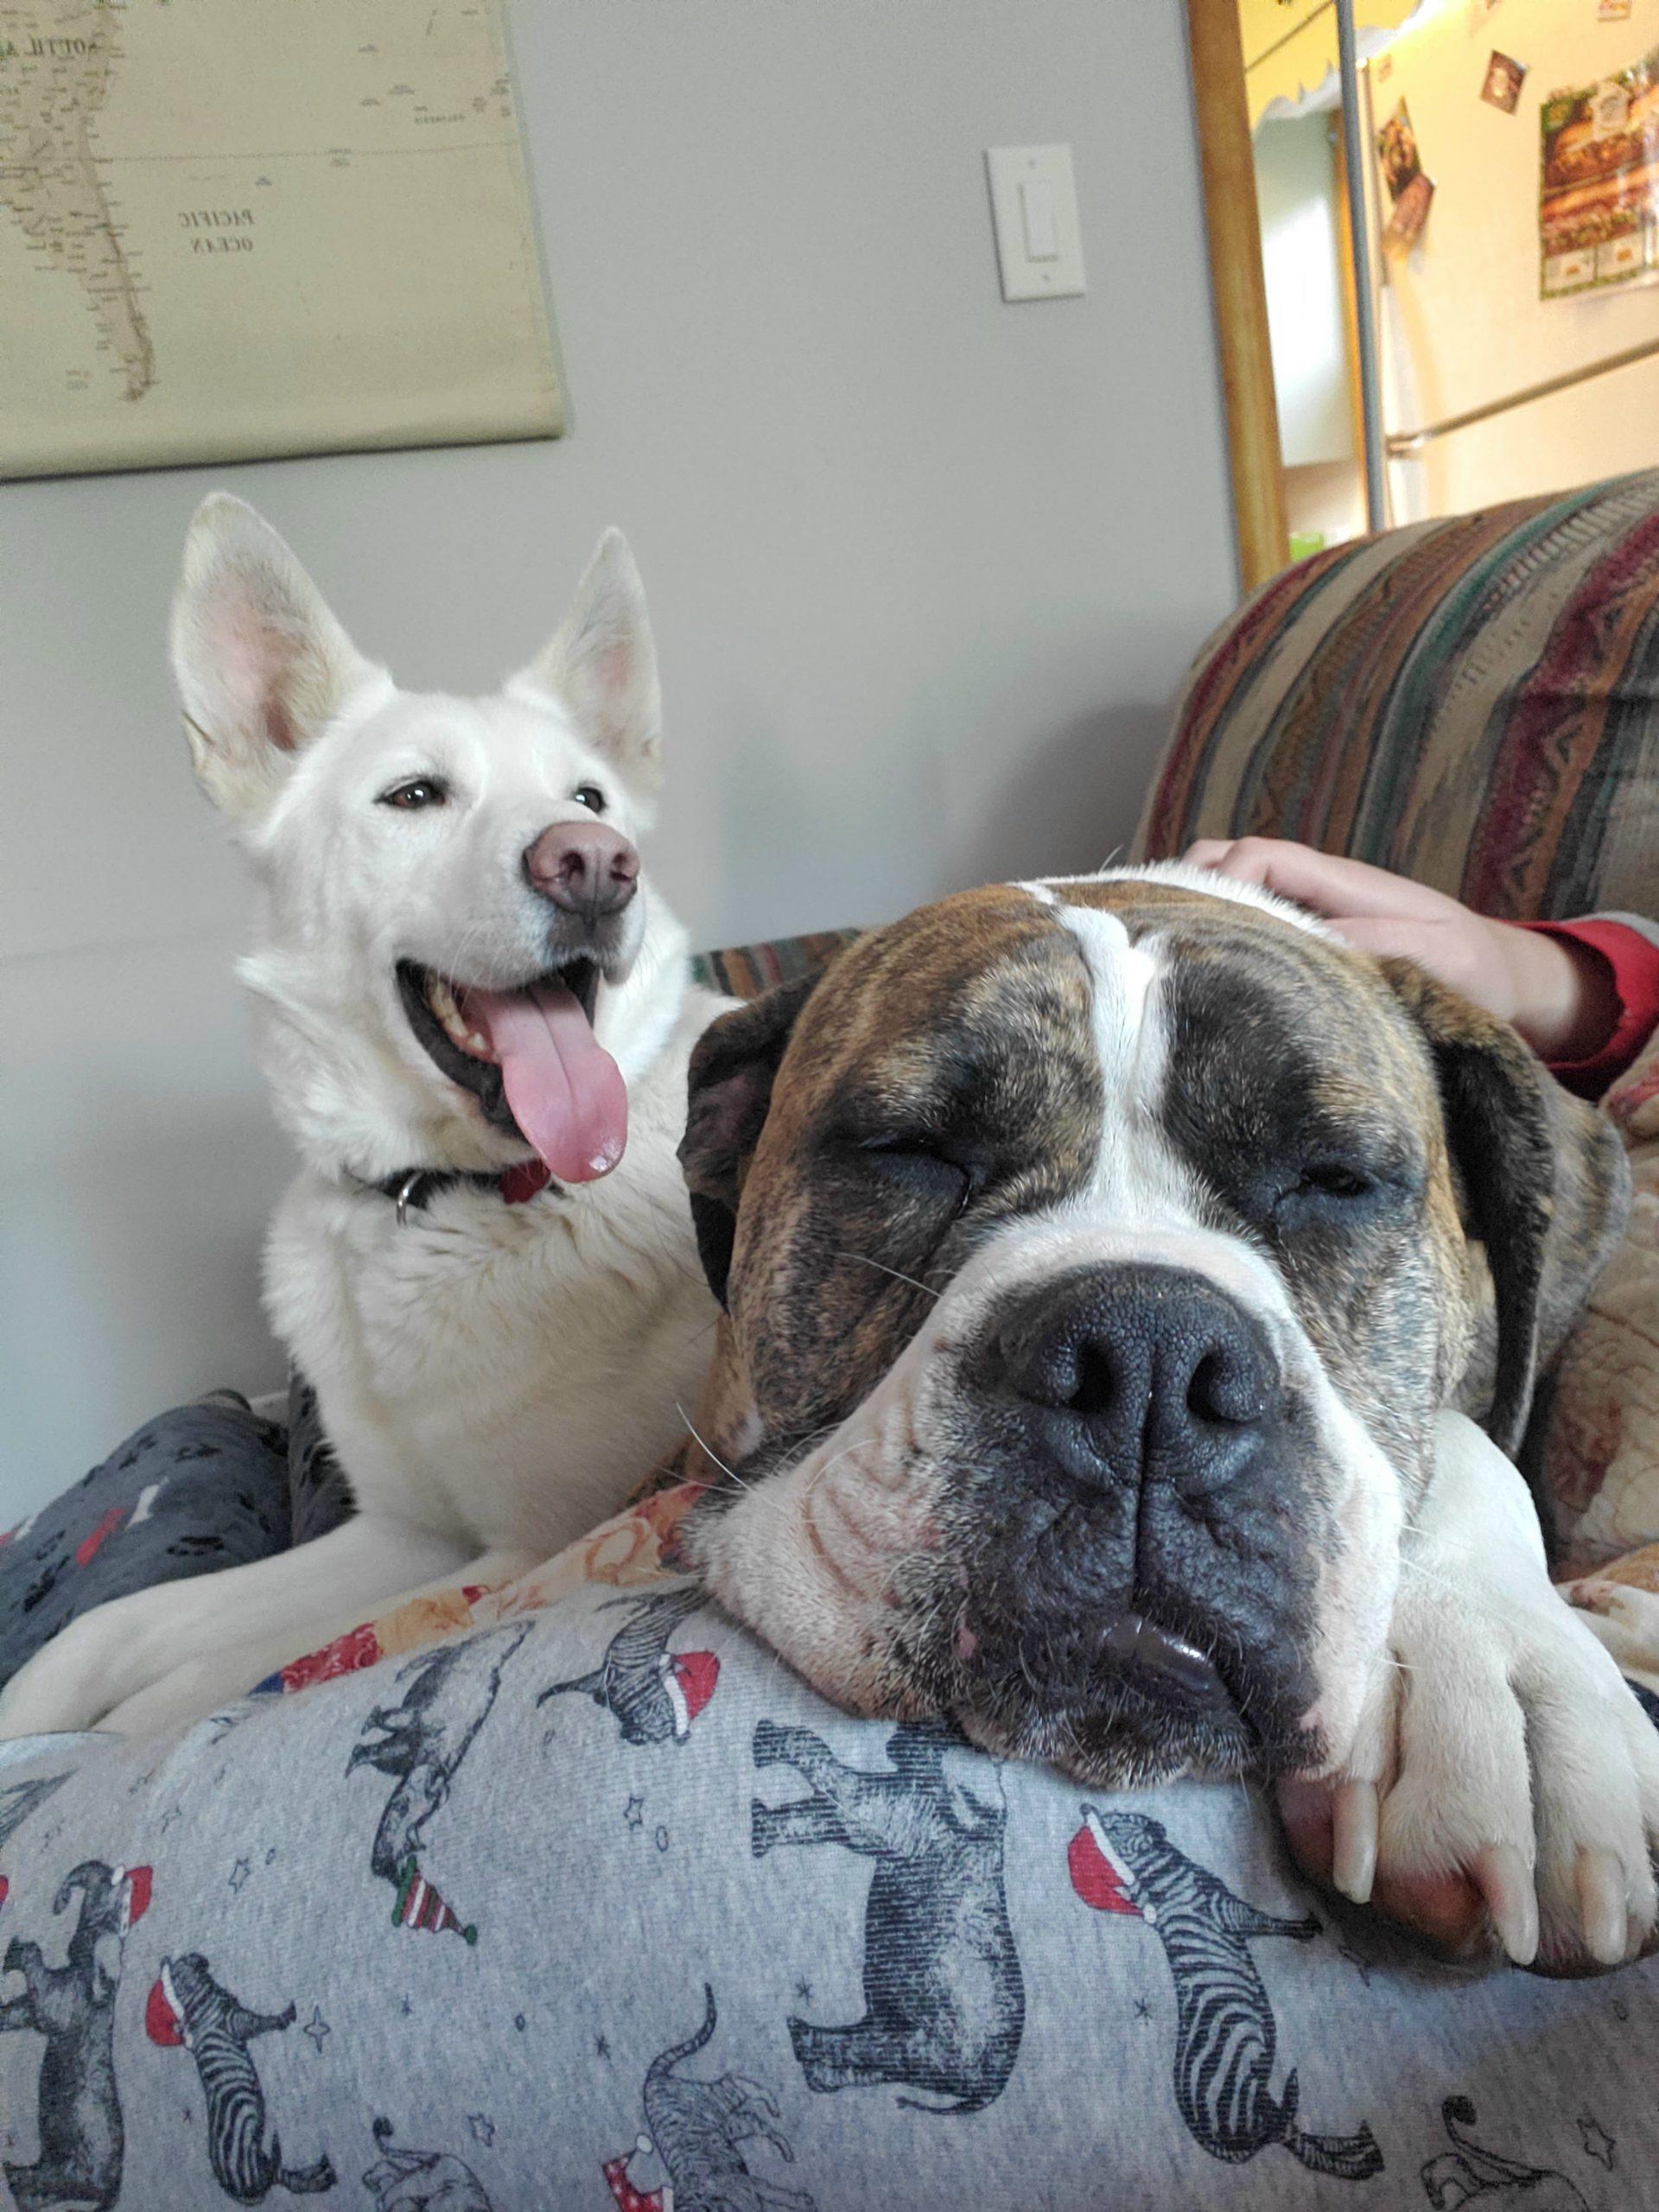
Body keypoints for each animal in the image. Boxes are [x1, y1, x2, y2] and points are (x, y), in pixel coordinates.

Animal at [0, 498, 725, 1743]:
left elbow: (186, 1691)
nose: (596, 865)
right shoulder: (400, 1530)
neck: (436, 1202)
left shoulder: (522, 1546)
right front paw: (32, 1711)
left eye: (587, 799)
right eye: (415, 795)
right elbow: (111, 1635)